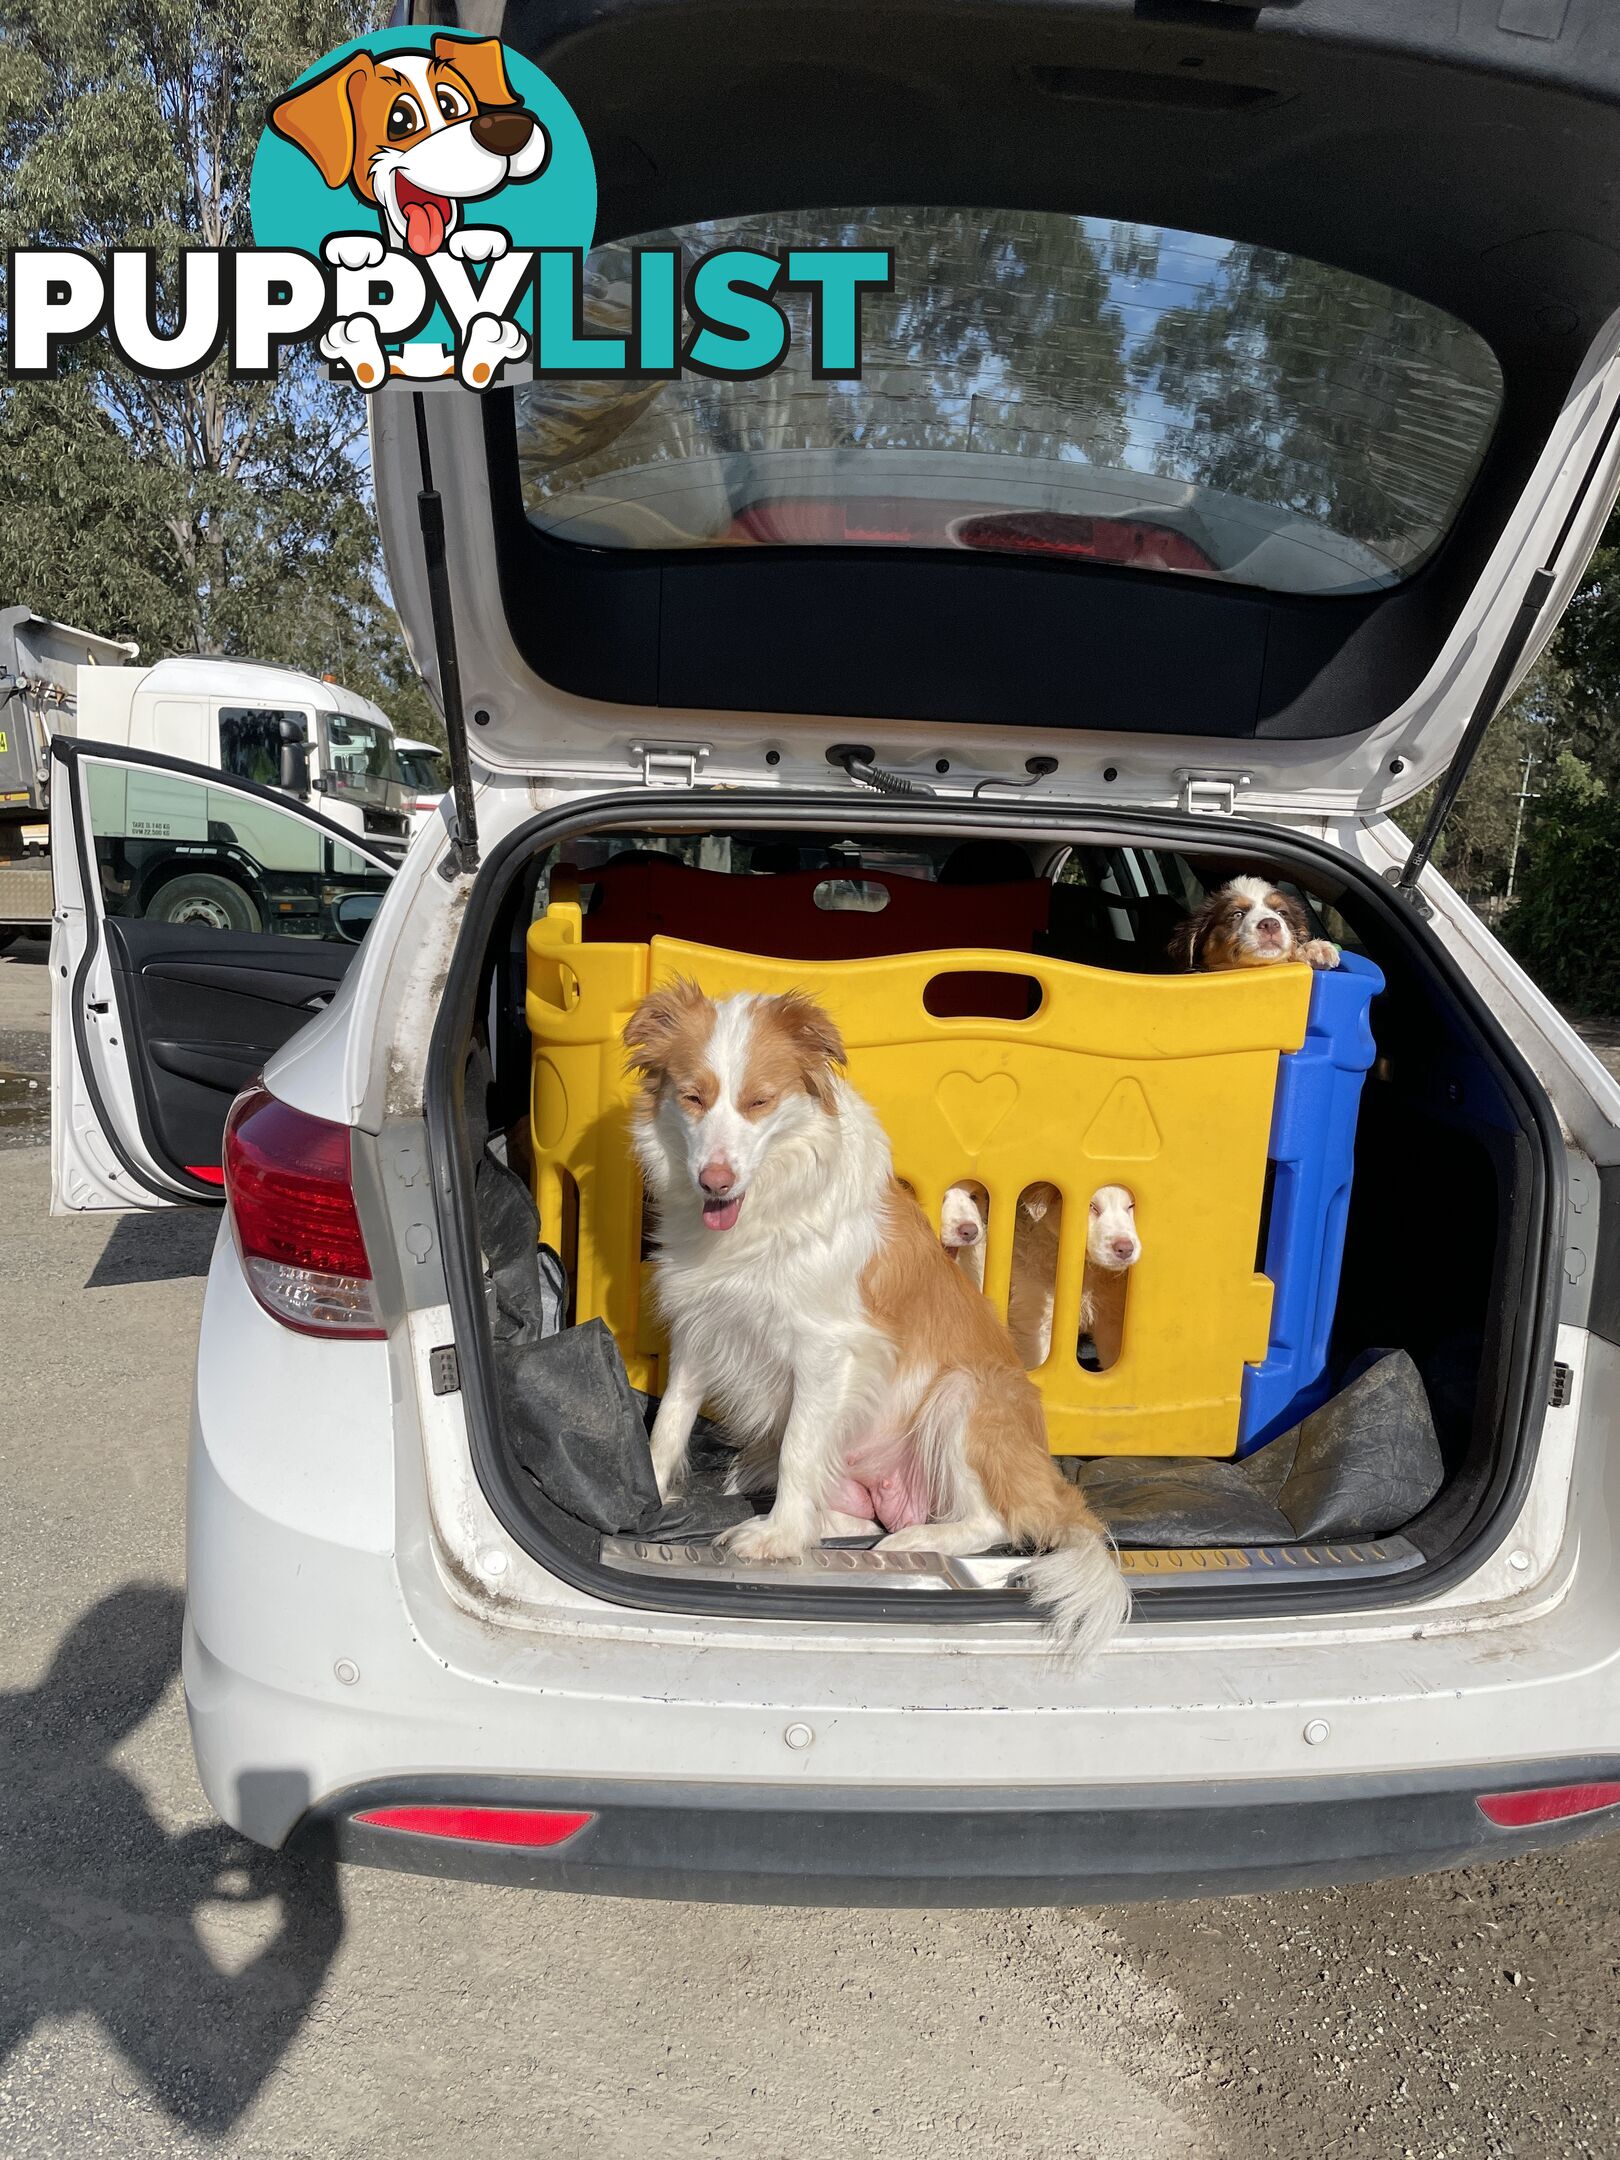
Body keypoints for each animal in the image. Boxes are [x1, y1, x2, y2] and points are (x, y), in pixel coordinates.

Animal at [622, 989, 1131, 1658]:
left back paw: (912, 1540)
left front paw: (778, 1541)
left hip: (965, 1396)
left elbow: (800, 1447)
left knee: (989, 1519)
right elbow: (670, 1423)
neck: (765, 1204)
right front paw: (650, 1492)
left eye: (760, 1101)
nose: (715, 1180)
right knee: (853, 1511)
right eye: (692, 1096)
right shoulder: (698, 1327)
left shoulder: (826, 1350)